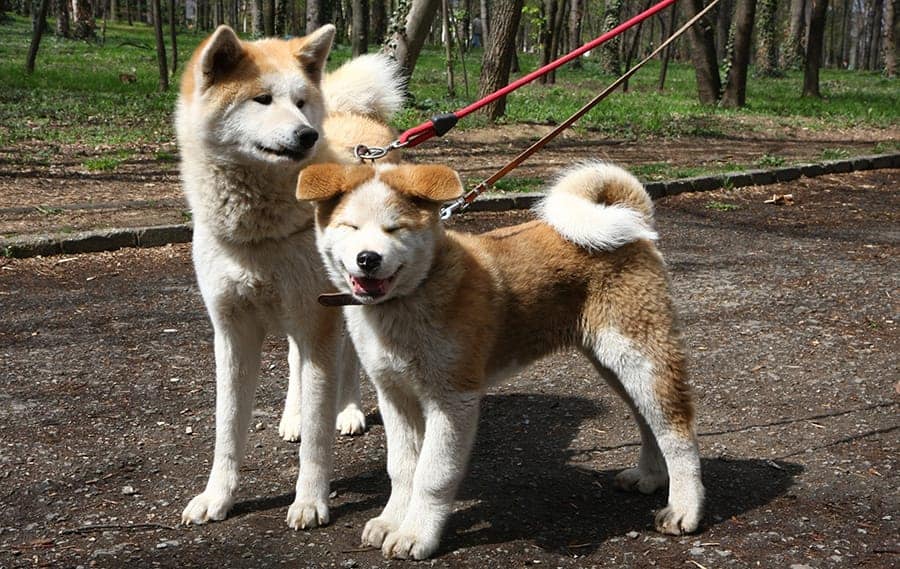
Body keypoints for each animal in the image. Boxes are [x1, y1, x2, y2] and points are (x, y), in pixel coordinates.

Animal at [176, 23, 400, 528]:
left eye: (299, 101)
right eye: (262, 99)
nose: (307, 134)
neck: (258, 233)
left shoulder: (318, 319)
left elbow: (319, 435)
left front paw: (310, 501)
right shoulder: (232, 331)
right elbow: (227, 429)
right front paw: (217, 497)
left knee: (348, 362)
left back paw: (349, 410)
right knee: (299, 360)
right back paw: (293, 416)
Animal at [298, 161, 708, 560]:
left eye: (394, 228)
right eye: (350, 227)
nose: (368, 259)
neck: (412, 295)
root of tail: (634, 227)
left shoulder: (453, 399)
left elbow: (432, 475)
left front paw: (416, 534)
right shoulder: (395, 395)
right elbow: (402, 469)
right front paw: (391, 521)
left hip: (640, 359)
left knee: (677, 431)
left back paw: (684, 510)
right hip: (615, 366)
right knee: (649, 422)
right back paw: (650, 477)